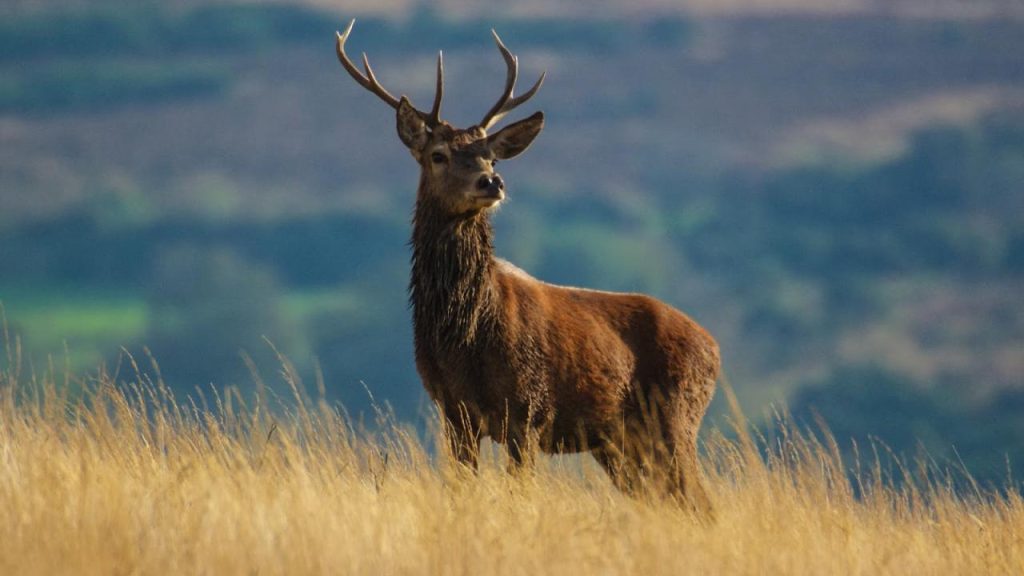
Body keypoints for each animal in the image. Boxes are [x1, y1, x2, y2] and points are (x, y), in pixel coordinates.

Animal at [335, 20, 720, 510]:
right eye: (438, 154)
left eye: (491, 156)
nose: (491, 181)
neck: (463, 337)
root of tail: (713, 347)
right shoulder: (453, 412)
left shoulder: (530, 408)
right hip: (619, 444)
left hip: (674, 417)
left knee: (701, 502)